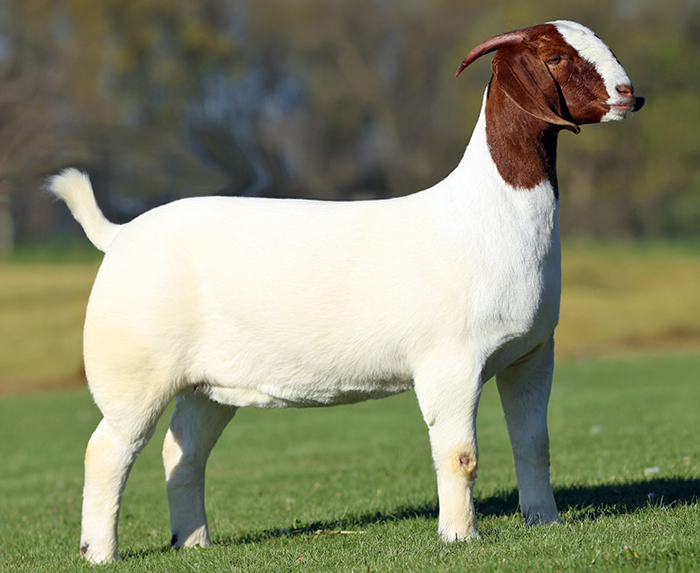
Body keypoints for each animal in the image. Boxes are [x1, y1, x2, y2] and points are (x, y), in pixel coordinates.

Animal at [48, 20, 643, 563]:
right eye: (556, 57)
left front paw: (545, 523)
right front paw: (461, 537)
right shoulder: (451, 364)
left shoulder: (531, 354)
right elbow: (460, 454)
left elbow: (534, 443)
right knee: (106, 451)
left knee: (183, 454)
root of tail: (117, 234)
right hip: (133, 373)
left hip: (207, 386)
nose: (629, 95)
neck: (489, 212)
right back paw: (100, 552)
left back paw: (194, 543)